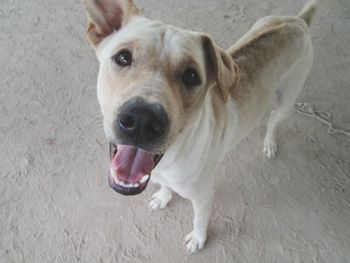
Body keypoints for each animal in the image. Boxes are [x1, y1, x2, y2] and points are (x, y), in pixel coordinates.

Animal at [82, 0, 318, 256]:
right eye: (123, 58)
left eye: (191, 76)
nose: (142, 121)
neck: (169, 160)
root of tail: (298, 20)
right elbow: (165, 187)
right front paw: (163, 197)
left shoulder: (204, 196)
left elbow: (200, 220)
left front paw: (198, 239)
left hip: (288, 98)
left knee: (275, 118)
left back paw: (270, 144)